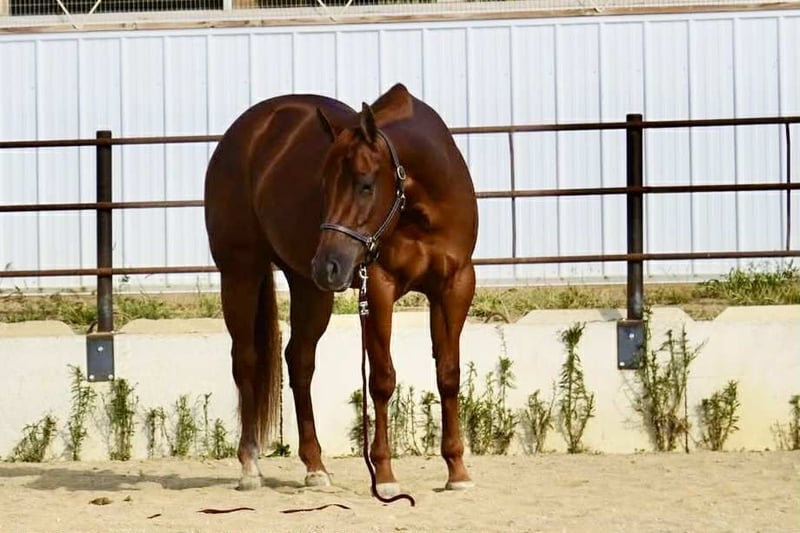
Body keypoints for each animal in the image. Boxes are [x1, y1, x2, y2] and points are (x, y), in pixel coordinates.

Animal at [204, 83, 478, 497]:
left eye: (365, 184)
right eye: (322, 185)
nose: (328, 264)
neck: (420, 209)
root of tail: (247, 131)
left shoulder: (455, 286)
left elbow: (448, 374)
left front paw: (457, 470)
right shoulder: (378, 287)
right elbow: (381, 380)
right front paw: (385, 475)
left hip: (309, 287)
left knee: (299, 361)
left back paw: (315, 467)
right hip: (240, 272)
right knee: (246, 359)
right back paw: (250, 466)